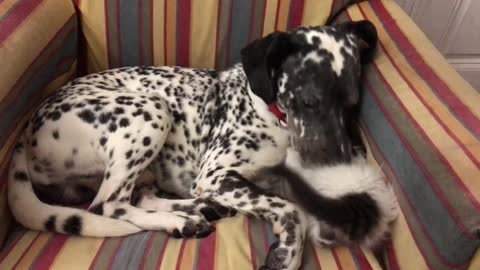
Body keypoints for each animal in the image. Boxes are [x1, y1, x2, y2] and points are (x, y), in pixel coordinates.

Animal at [8, 7, 378, 270]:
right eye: (309, 101)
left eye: (352, 105)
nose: (338, 159)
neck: (272, 114)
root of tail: (26, 134)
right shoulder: (215, 175)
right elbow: (290, 208)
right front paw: (288, 251)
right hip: (151, 110)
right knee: (108, 205)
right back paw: (180, 220)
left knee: (139, 197)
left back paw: (198, 211)